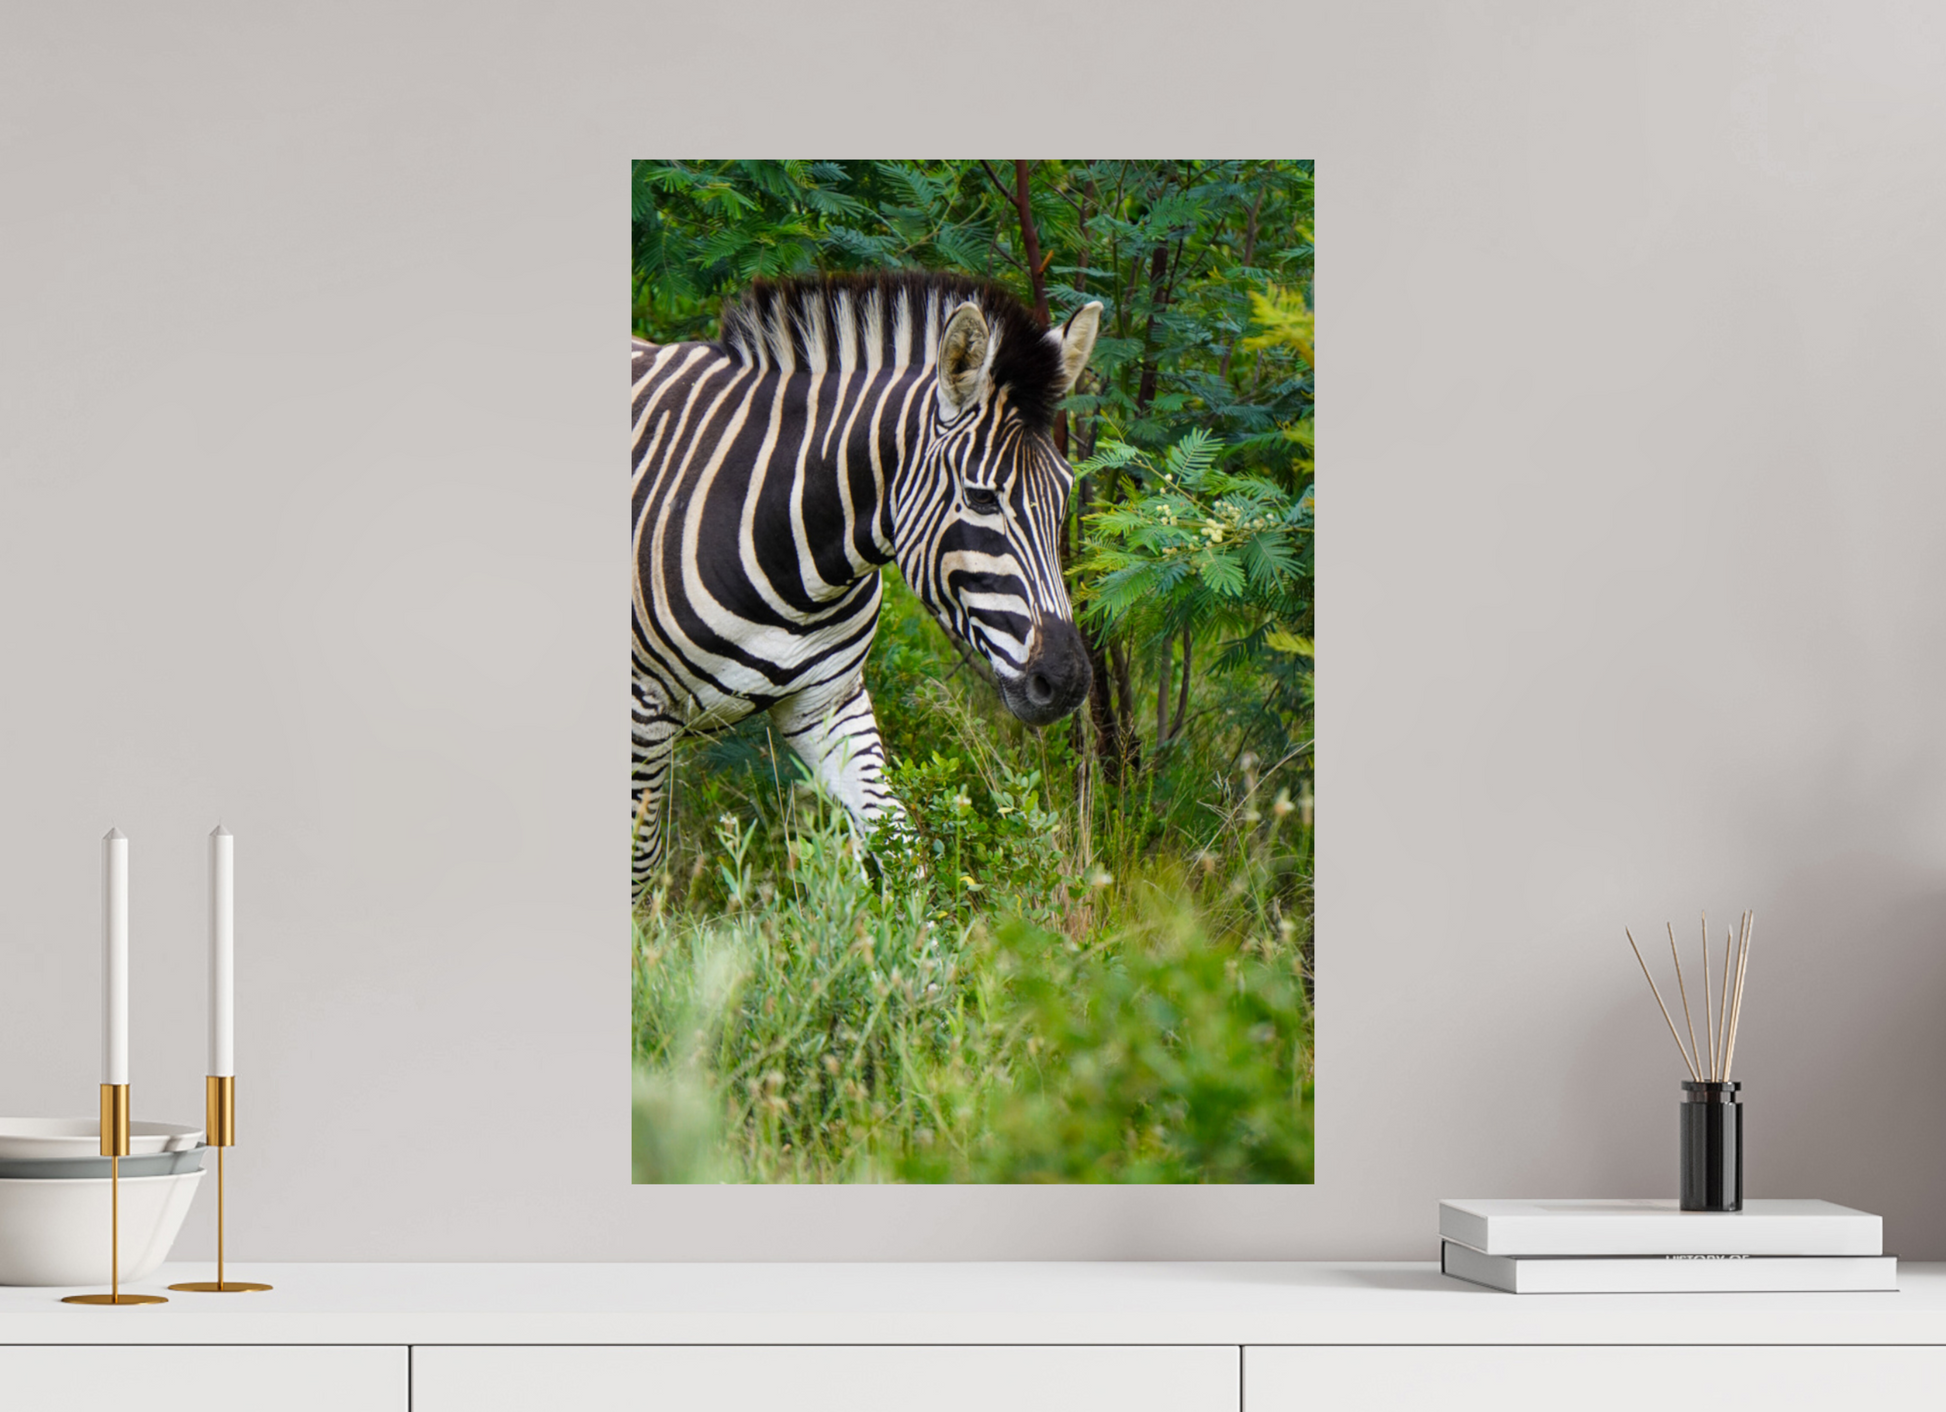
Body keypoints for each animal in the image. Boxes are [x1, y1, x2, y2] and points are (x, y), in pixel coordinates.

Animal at [632, 271, 1102, 901]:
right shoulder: (643, 714)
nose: (1068, 682)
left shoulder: (825, 703)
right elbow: (640, 867)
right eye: (981, 498)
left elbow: (901, 845)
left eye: (1065, 494)